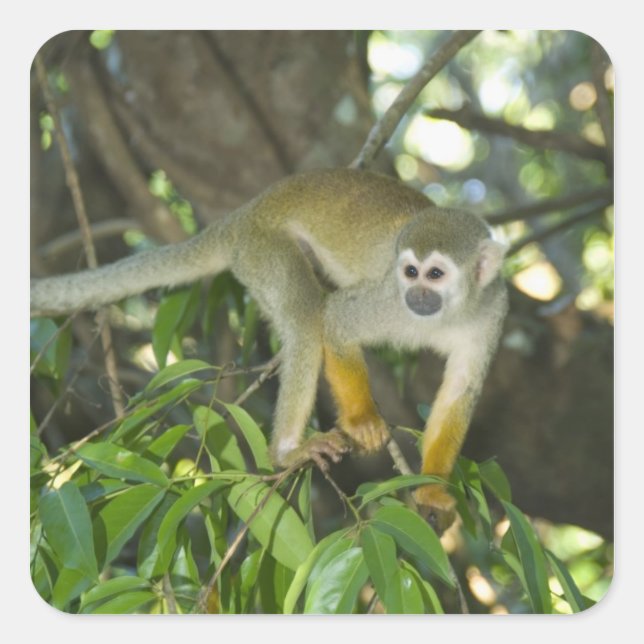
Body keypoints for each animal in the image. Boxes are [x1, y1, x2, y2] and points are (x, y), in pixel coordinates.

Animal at [31, 168, 508, 521]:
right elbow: (336, 321)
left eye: (435, 275)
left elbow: (460, 392)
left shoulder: (492, 312)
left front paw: (431, 489)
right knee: (305, 315)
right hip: (263, 249)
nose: (417, 296)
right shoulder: (388, 299)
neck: (447, 313)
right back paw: (286, 452)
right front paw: (361, 421)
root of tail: (243, 214)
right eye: (410, 272)